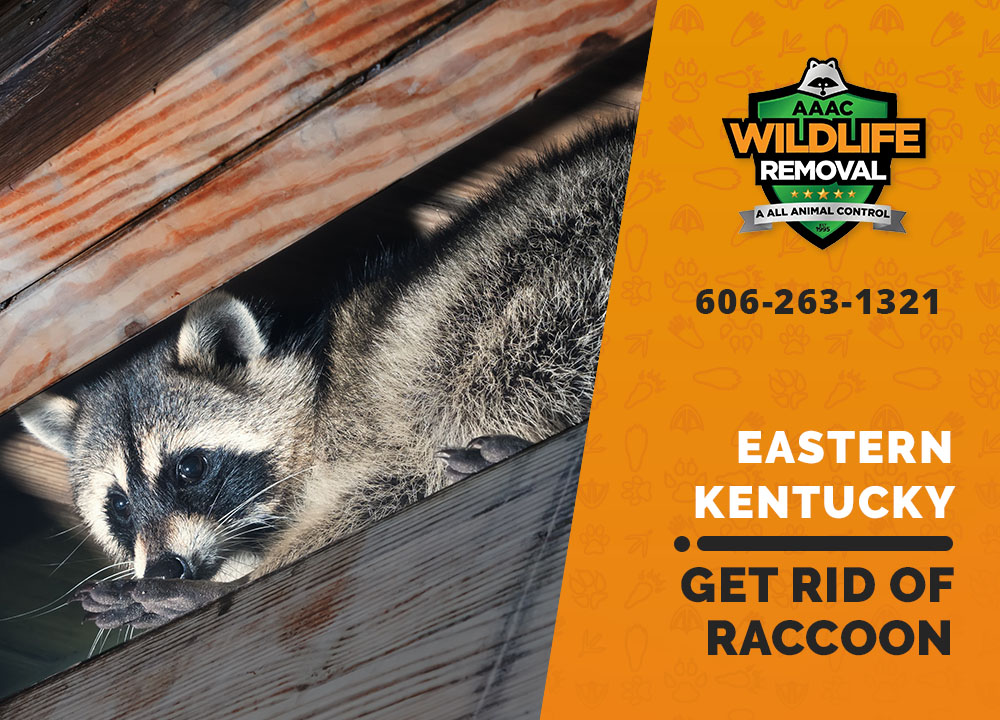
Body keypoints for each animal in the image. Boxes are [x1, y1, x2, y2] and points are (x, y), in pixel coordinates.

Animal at [17, 118, 635, 631]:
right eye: (118, 505)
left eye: (189, 469)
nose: (167, 569)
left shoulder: (364, 422)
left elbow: (393, 479)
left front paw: (241, 578)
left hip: (551, 264)